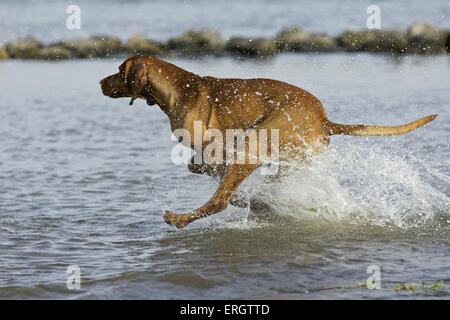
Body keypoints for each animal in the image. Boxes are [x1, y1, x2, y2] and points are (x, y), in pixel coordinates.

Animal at [100, 56, 438, 229]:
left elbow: (209, 167)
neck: (179, 87)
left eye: (118, 71)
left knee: (220, 200)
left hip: (257, 141)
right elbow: (201, 167)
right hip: (287, 156)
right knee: (250, 188)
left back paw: (183, 218)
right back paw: (261, 201)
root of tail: (324, 120)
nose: (101, 82)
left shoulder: (217, 144)